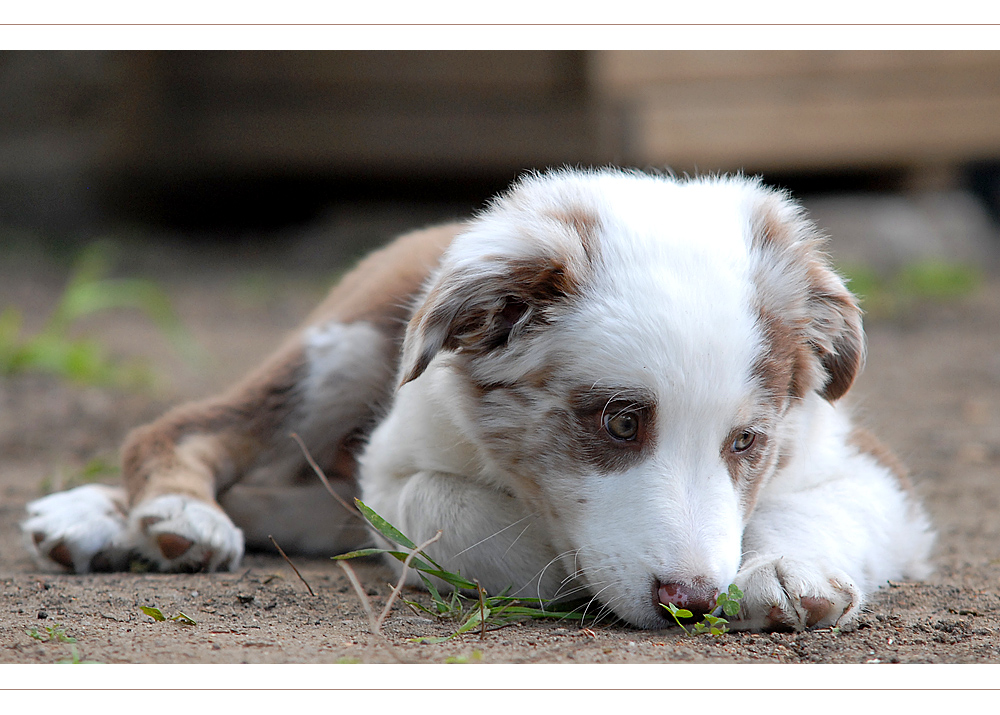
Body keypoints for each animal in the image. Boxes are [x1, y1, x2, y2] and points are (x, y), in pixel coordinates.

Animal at [21, 169, 928, 632]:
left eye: (747, 442)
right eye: (620, 421)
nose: (693, 602)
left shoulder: (868, 466)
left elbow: (815, 506)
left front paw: (786, 569)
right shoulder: (394, 471)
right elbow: (452, 513)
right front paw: (567, 574)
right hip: (343, 349)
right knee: (184, 431)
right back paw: (162, 516)